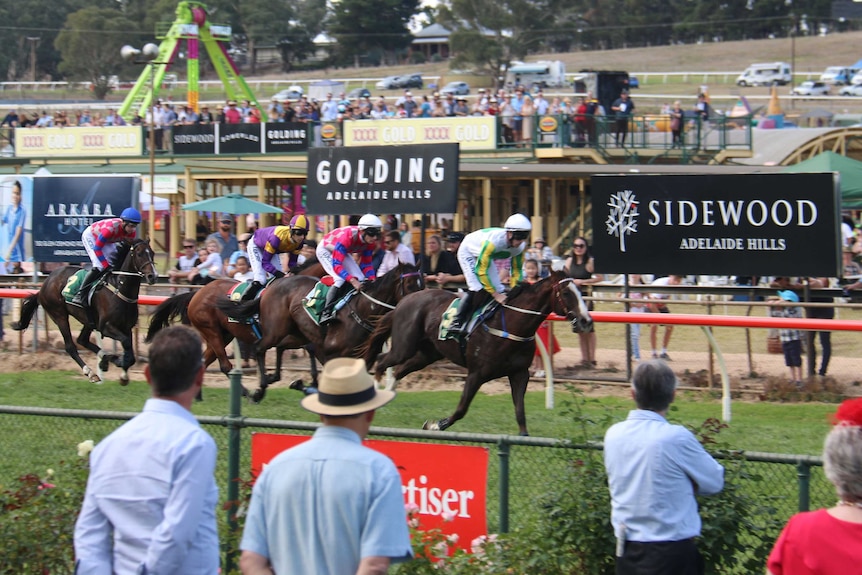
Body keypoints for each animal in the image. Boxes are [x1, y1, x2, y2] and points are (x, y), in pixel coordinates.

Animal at [11, 241, 159, 384]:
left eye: (152, 253)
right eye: (139, 254)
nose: (153, 276)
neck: (119, 289)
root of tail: (43, 286)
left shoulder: (126, 328)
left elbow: (130, 352)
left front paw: (121, 370)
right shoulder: (106, 327)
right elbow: (127, 344)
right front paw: (121, 368)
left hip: (88, 320)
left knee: (82, 340)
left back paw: (105, 359)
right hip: (59, 315)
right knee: (70, 346)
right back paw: (91, 373)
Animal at [147, 260, 326, 396]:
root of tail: (196, 294)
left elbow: (309, 349)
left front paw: (311, 382)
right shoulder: (283, 336)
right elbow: (308, 349)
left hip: (224, 335)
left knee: (204, 361)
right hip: (211, 330)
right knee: (225, 365)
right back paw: (245, 393)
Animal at [216, 264, 426, 402]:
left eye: (422, 285)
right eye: (409, 285)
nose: (418, 302)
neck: (363, 309)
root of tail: (271, 287)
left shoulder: (360, 358)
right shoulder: (329, 352)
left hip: (294, 333)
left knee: (276, 348)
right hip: (275, 331)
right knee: (259, 348)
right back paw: (259, 391)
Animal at [362, 272, 592, 434]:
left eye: (580, 291)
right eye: (566, 293)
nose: (586, 321)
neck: (511, 326)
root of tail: (404, 301)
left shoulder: (519, 373)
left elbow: (520, 414)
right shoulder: (476, 373)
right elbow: (461, 409)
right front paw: (435, 425)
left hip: (427, 354)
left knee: (399, 369)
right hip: (404, 347)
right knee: (382, 361)